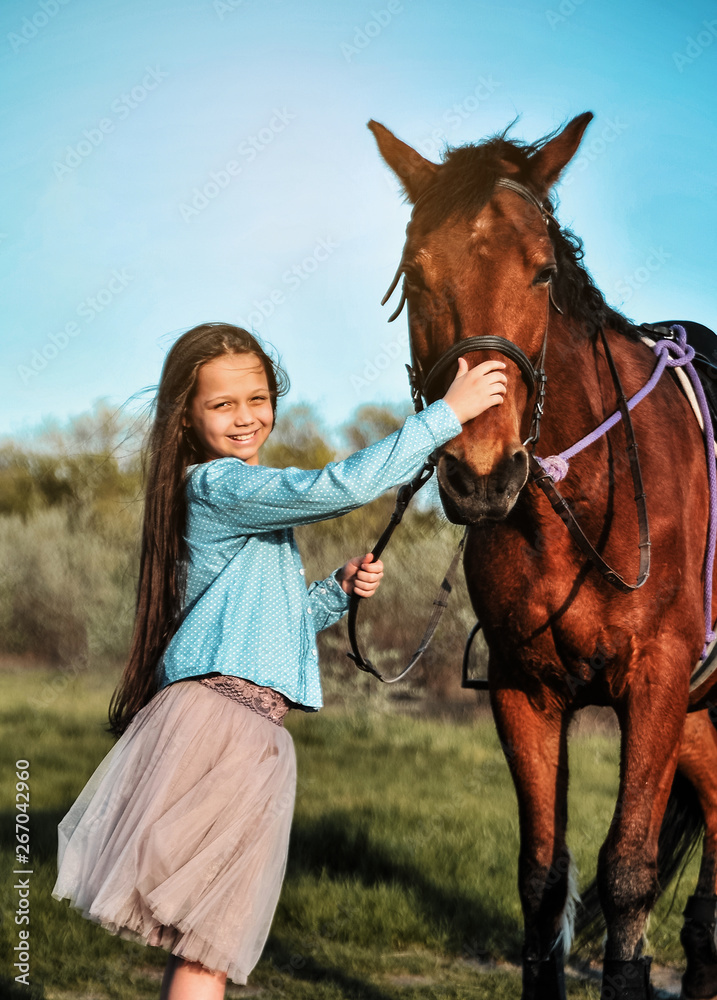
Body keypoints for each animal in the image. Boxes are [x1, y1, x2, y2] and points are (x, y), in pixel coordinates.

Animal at [368, 112, 717, 1000]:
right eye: (417, 276)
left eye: (540, 272)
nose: (481, 472)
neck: (575, 505)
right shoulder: (526, 692)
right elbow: (541, 879)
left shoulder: (656, 683)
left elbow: (625, 873)